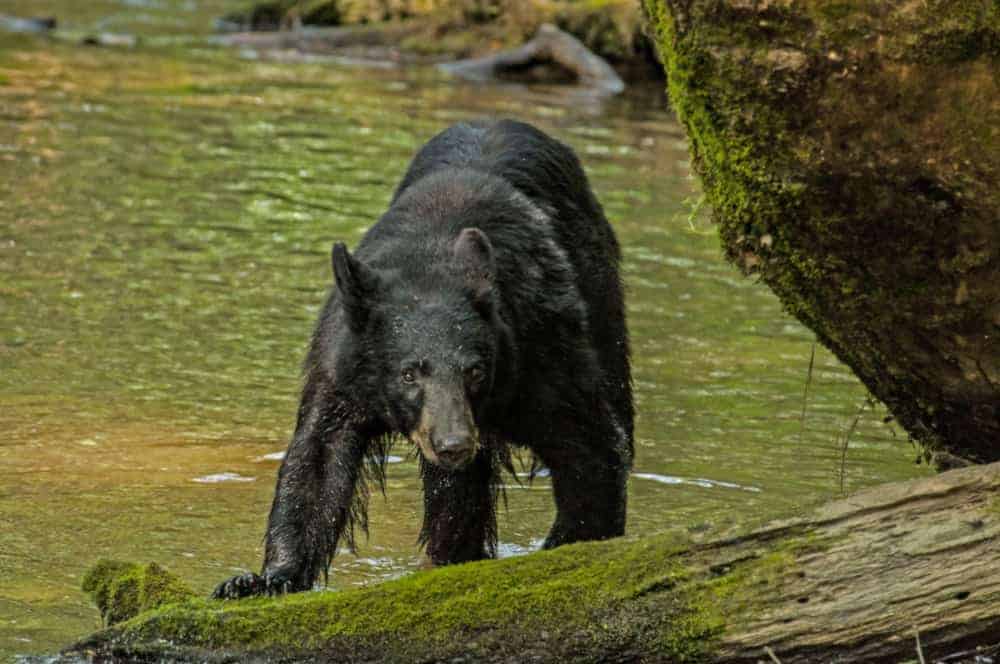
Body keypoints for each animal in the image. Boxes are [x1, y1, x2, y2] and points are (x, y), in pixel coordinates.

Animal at [213, 120, 632, 600]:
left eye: (475, 371)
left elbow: (591, 446)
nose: (453, 444)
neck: (430, 258)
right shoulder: (342, 366)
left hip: (601, 297)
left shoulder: (540, 350)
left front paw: (567, 547)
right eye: (409, 373)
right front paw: (262, 579)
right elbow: (318, 461)